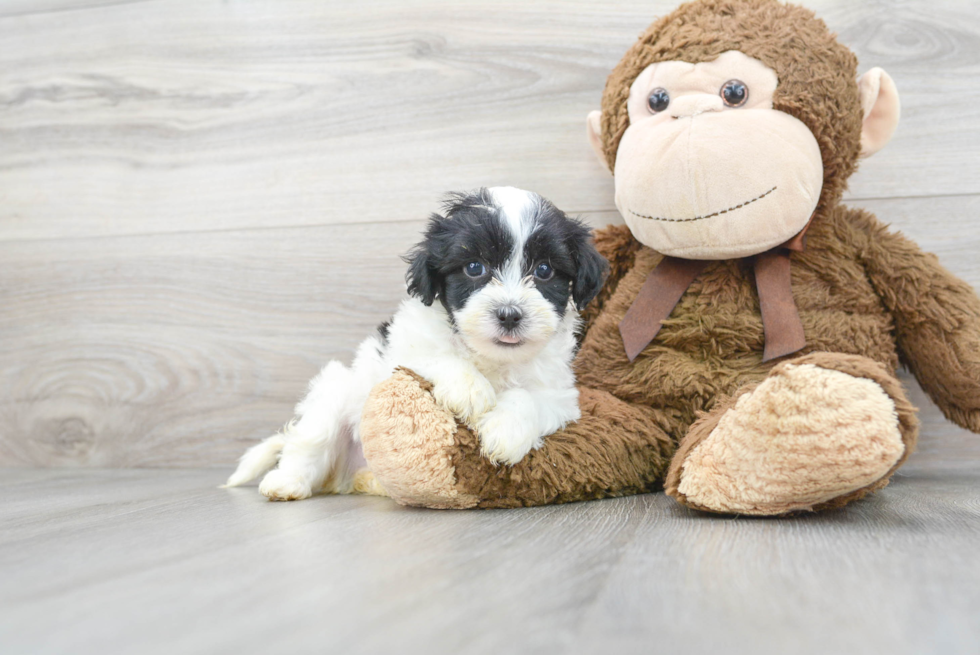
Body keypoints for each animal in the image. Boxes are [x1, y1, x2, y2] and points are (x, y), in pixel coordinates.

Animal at [226, 187, 608, 504]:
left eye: (544, 270)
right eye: (474, 267)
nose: (510, 314)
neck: (490, 357)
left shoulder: (559, 395)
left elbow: (530, 398)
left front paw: (505, 431)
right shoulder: (401, 348)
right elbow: (436, 355)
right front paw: (471, 389)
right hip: (337, 392)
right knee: (310, 440)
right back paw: (286, 482)